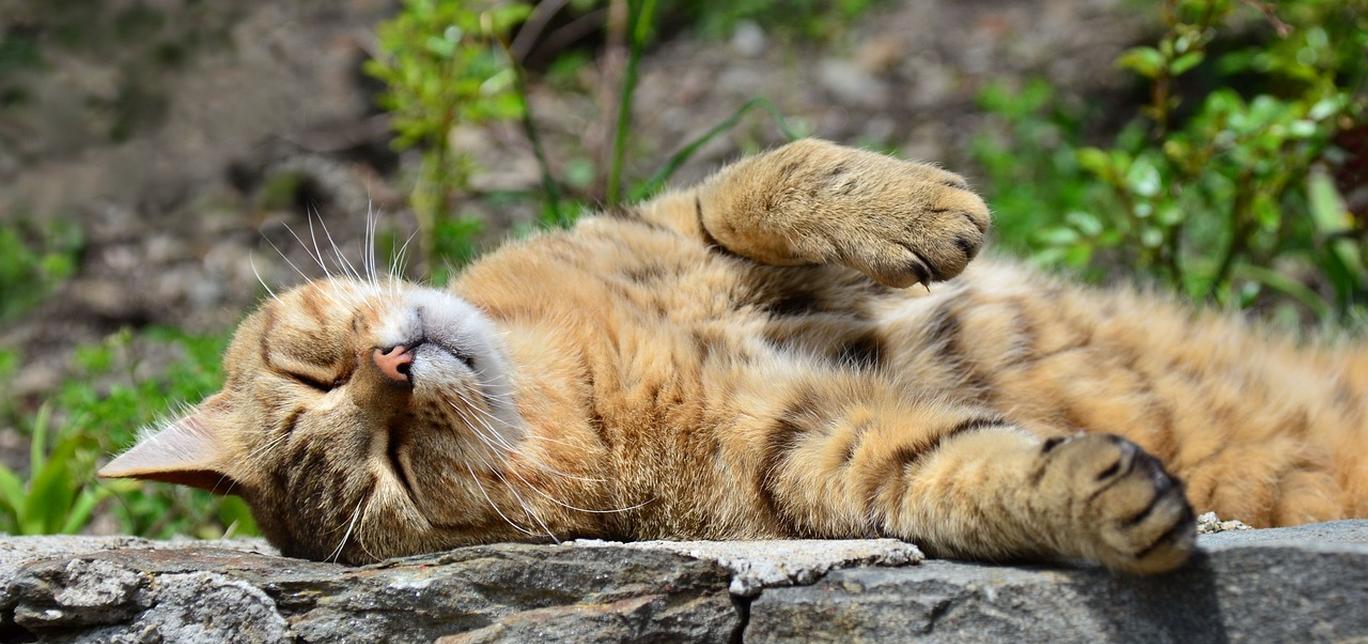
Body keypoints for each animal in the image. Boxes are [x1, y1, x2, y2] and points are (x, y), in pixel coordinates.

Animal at [101, 138, 1368, 571]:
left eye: (315, 373)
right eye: (383, 468)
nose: (395, 366)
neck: (564, 376)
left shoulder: (675, 224)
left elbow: (757, 178)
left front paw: (917, 206)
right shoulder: (824, 449)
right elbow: (963, 468)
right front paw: (1101, 495)